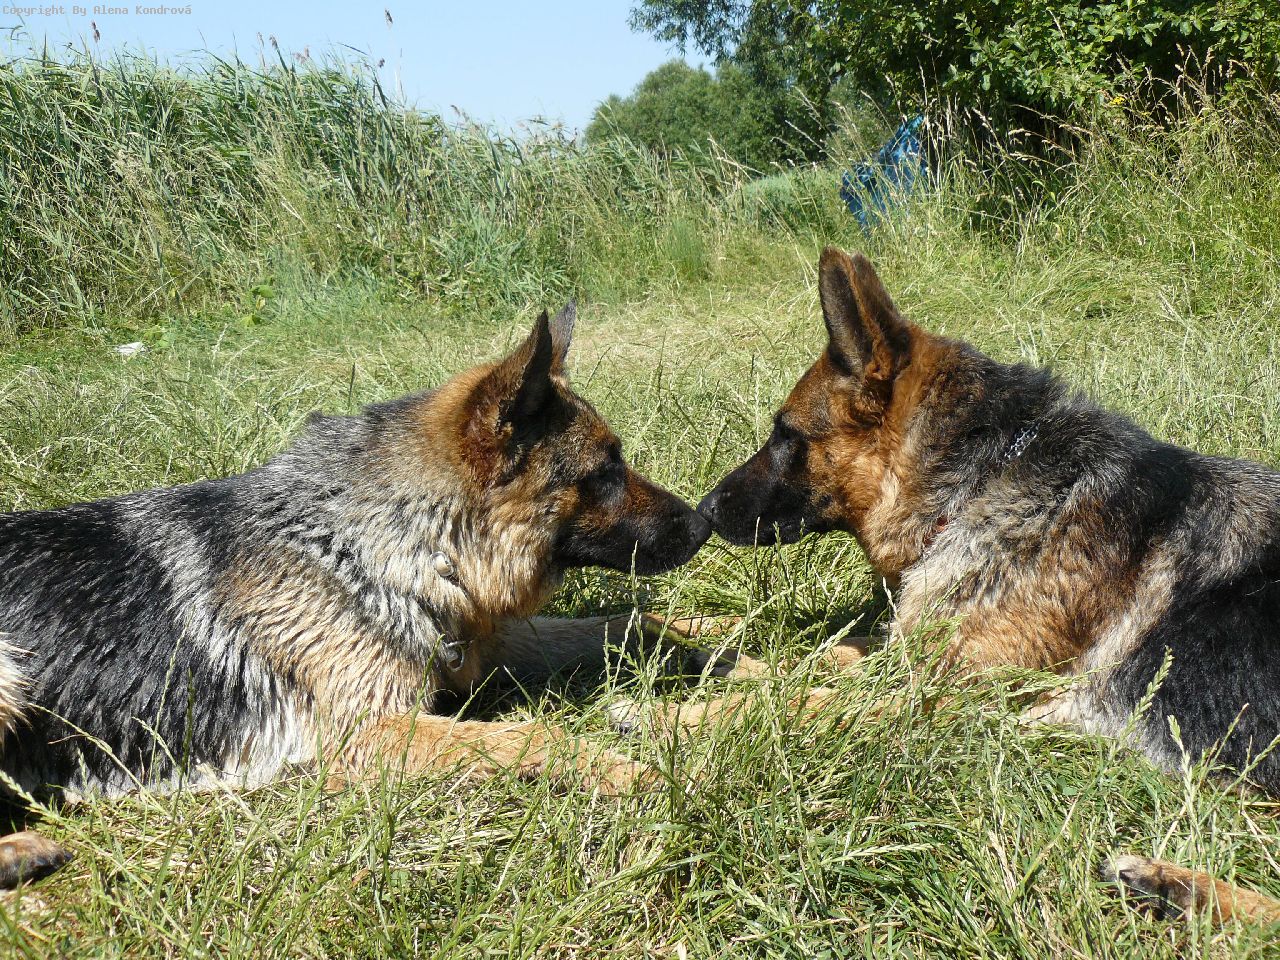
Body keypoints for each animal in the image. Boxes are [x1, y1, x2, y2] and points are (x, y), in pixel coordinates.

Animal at [0, 303, 714, 888]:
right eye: (605, 472)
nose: (706, 522)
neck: (367, 544)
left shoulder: (475, 646)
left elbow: (624, 620)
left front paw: (708, 641)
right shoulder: (368, 734)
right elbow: (531, 735)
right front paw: (638, 772)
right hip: (11, 673)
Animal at [634, 248, 1280, 926]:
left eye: (786, 436)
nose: (704, 511)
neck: (982, 480)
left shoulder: (942, 698)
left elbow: (802, 700)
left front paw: (670, 717)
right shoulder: (905, 649)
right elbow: (808, 655)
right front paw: (693, 647)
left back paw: (1177, 885)